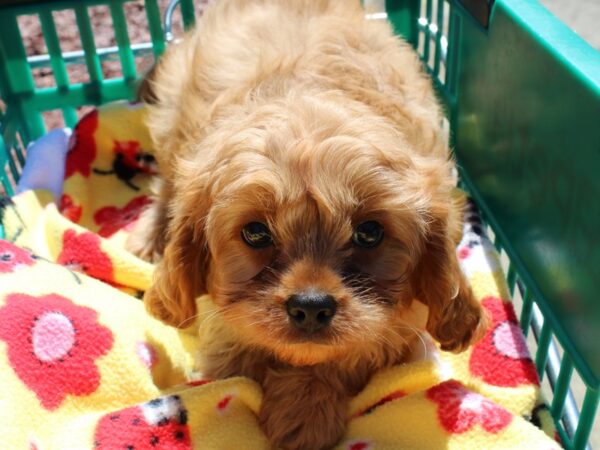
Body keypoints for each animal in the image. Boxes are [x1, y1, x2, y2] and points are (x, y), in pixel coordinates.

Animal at [129, 1, 486, 448]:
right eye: (255, 233)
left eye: (370, 233)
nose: (311, 307)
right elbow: (239, 359)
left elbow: (347, 354)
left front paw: (304, 411)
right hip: (170, 119)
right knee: (166, 183)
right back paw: (148, 237)